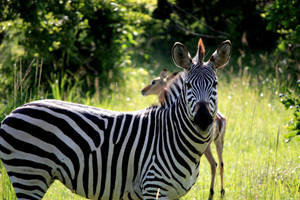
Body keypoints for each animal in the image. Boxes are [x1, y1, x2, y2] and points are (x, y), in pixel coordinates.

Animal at [141, 68, 227, 198]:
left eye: (153, 82)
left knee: (214, 164)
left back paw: (211, 192)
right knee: (221, 164)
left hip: (207, 147)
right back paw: (221, 192)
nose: (143, 90)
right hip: (219, 143)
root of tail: (220, 119)